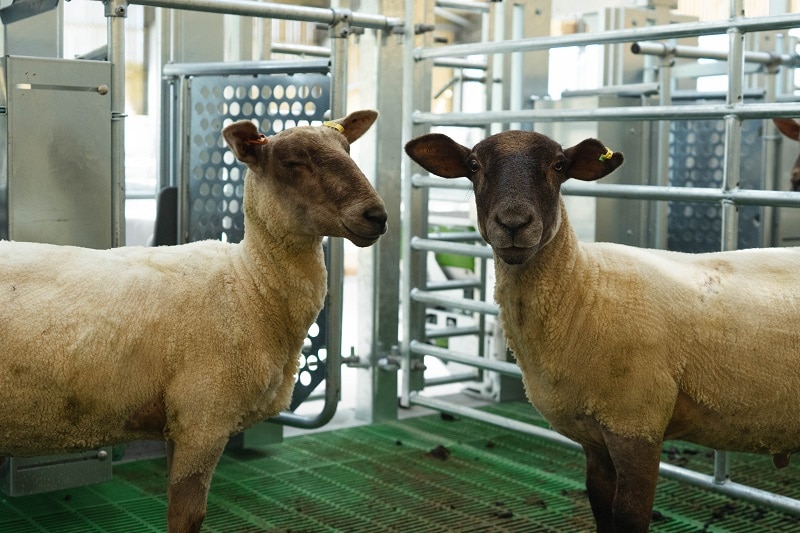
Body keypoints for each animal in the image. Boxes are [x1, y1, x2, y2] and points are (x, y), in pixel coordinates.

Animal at [0, 109, 387, 533]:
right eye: (291, 163)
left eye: (348, 149)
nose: (377, 215)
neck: (249, 287)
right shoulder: (203, 419)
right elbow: (187, 516)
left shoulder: (179, 423)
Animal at [405, 129, 800, 533]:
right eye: (473, 165)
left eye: (558, 164)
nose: (514, 222)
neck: (584, 287)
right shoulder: (594, 437)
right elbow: (599, 505)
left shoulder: (637, 423)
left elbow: (628, 518)